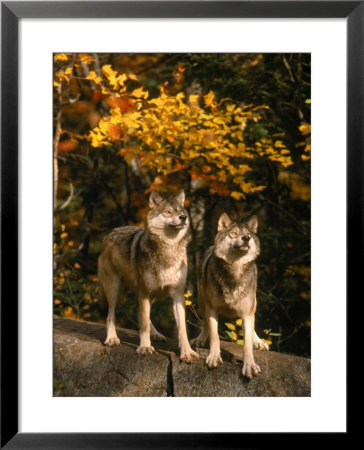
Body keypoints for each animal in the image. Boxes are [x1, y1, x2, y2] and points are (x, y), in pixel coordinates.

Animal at [97, 189, 199, 362]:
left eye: (181, 211)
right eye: (168, 212)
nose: (183, 217)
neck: (168, 250)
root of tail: (110, 232)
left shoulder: (177, 295)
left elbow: (182, 329)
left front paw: (187, 352)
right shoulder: (145, 292)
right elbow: (143, 324)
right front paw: (145, 347)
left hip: (151, 294)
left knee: (143, 315)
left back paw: (156, 334)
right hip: (115, 289)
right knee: (111, 316)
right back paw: (112, 338)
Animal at [192, 213, 268, 378]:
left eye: (248, 235)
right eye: (233, 233)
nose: (246, 238)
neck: (235, 272)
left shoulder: (246, 313)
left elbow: (247, 344)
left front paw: (250, 365)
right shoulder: (212, 308)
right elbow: (214, 336)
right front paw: (214, 357)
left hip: (254, 304)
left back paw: (259, 342)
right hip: (202, 301)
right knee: (205, 324)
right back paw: (200, 339)